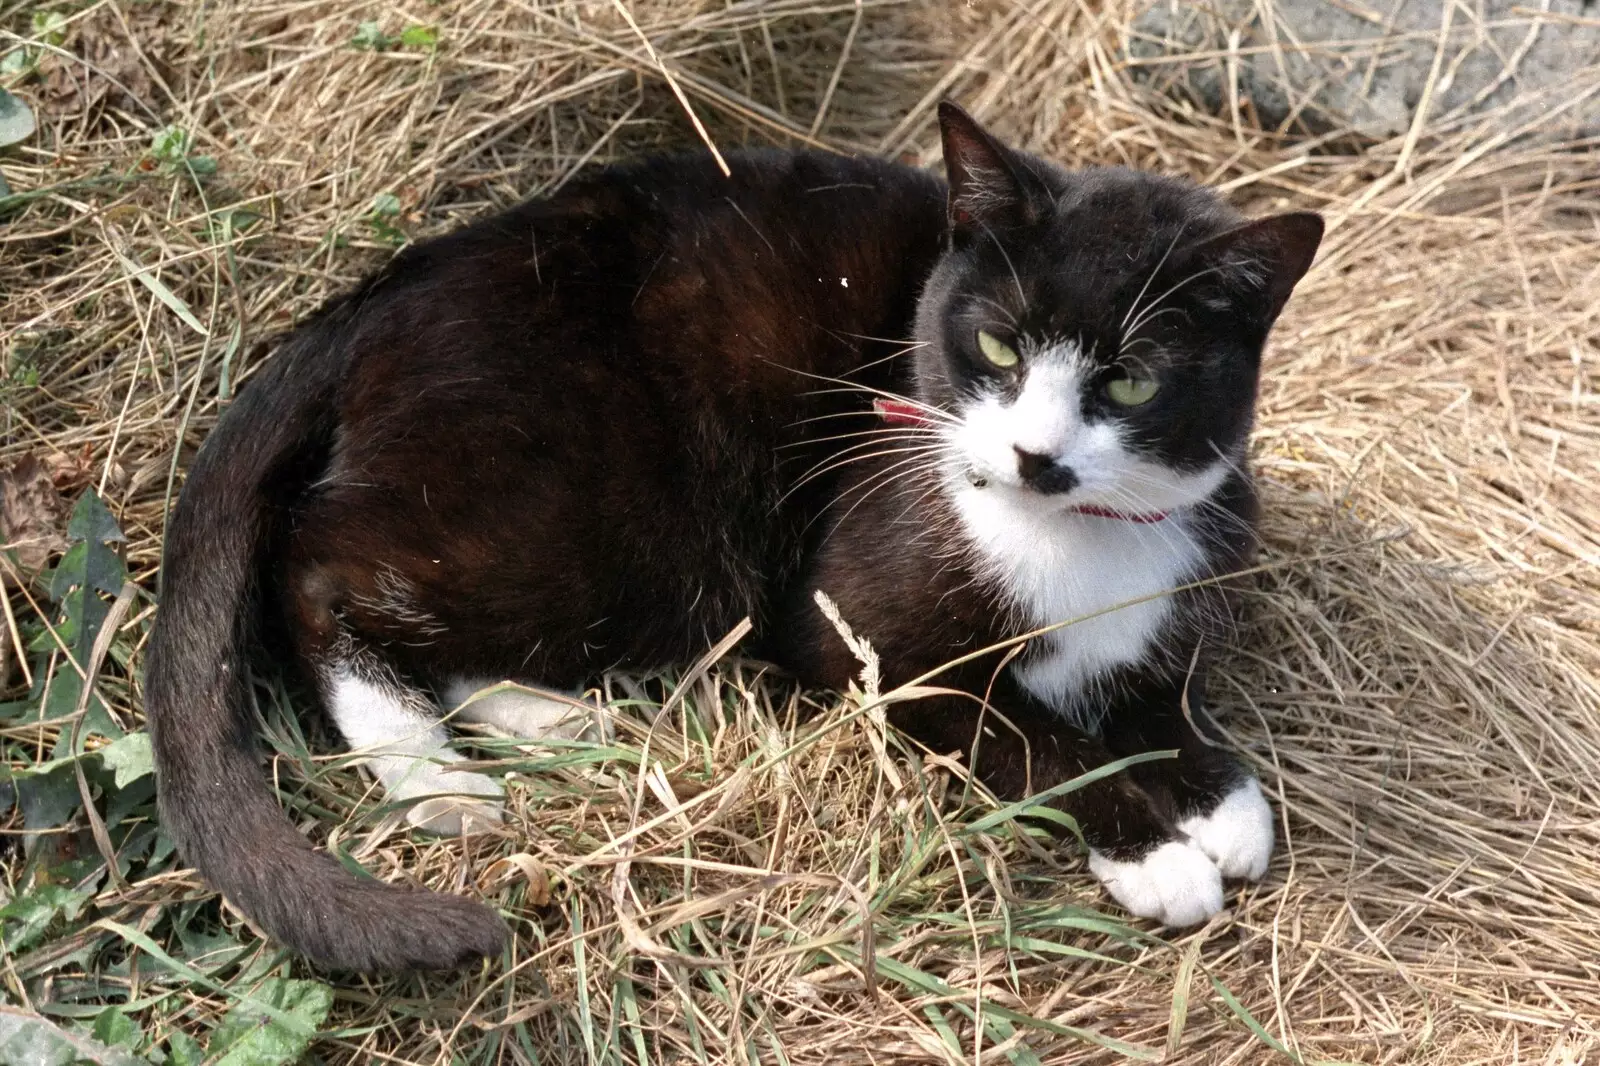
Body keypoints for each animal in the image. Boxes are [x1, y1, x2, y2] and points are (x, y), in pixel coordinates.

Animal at [144, 104, 1318, 966]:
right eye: (995, 345)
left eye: (1131, 382)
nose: (1034, 454)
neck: (1073, 537)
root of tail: (378, 294)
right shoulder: (853, 625)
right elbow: (1022, 733)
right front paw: (1157, 849)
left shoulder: (1177, 574)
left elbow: (1166, 684)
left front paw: (1221, 797)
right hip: (610, 501)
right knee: (323, 566)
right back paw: (433, 771)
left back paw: (554, 720)